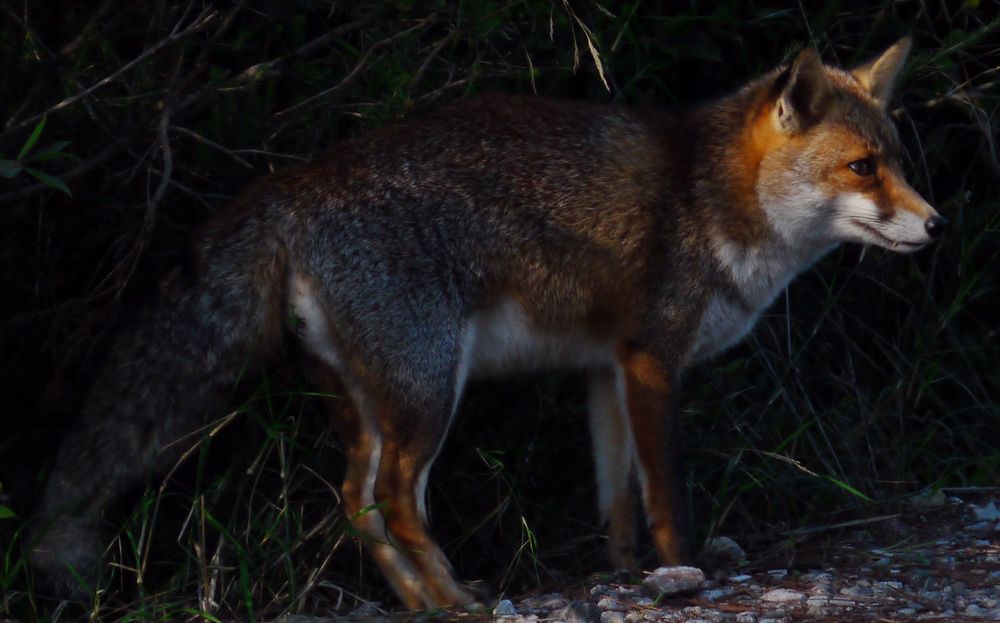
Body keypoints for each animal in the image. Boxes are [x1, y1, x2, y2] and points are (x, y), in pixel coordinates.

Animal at [27, 37, 940, 608]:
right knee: (395, 501)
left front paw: (628, 576)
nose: (936, 225)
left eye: (899, 160)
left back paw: (422, 602)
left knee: (355, 505)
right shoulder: (653, 358)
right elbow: (667, 494)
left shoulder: (606, 368)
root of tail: (291, 184)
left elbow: (617, 498)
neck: (715, 195)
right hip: (430, 390)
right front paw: (683, 567)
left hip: (370, 401)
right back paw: (453, 596)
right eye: (863, 168)